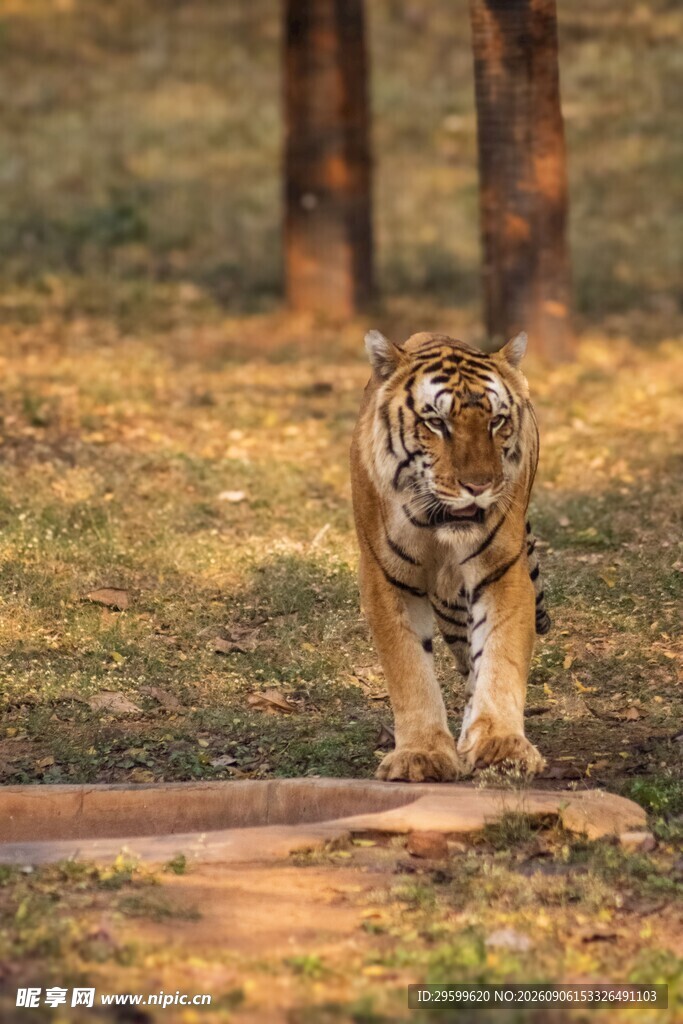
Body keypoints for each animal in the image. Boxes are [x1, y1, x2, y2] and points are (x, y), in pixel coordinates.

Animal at [350, 329, 551, 782]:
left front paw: (501, 745)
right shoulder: (387, 580)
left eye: (496, 421)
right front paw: (420, 754)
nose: (478, 486)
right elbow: (409, 669)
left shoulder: (501, 571)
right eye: (437, 423)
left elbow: (499, 656)